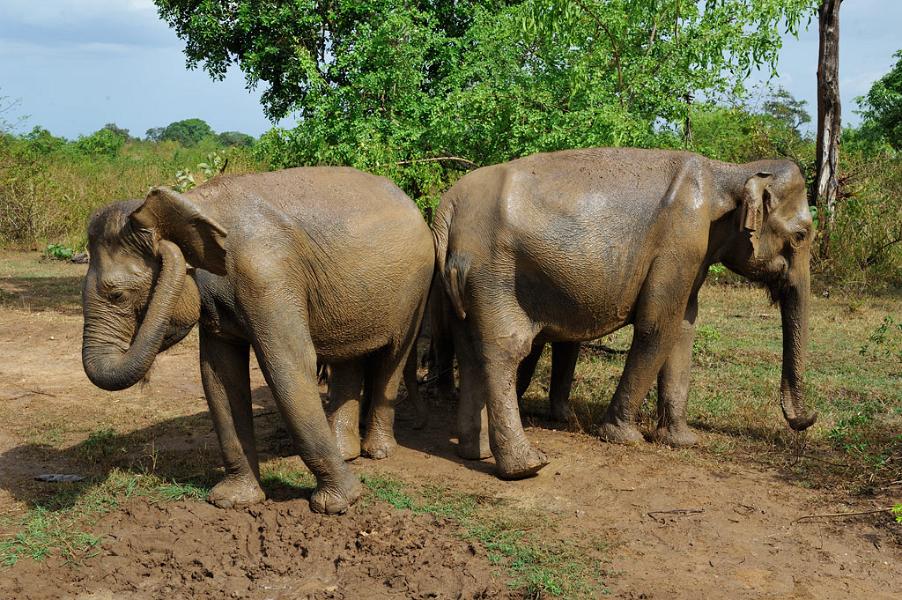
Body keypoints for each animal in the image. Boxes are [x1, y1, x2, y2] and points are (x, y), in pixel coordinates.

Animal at [81, 166, 434, 512]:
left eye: (118, 295)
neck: (189, 203)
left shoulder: (267, 275)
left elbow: (288, 366)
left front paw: (337, 504)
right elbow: (219, 377)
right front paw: (231, 501)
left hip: (416, 287)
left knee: (393, 357)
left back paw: (378, 452)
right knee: (349, 357)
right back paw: (347, 453)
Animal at [432, 149, 820, 478]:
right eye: (801, 235)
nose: (809, 418)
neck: (727, 173)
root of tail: (447, 208)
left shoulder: (692, 252)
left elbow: (684, 326)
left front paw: (682, 441)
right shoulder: (681, 239)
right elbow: (658, 326)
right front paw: (623, 437)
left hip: (463, 283)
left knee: (470, 350)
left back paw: (475, 452)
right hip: (493, 273)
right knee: (506, 350)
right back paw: (527, 466)